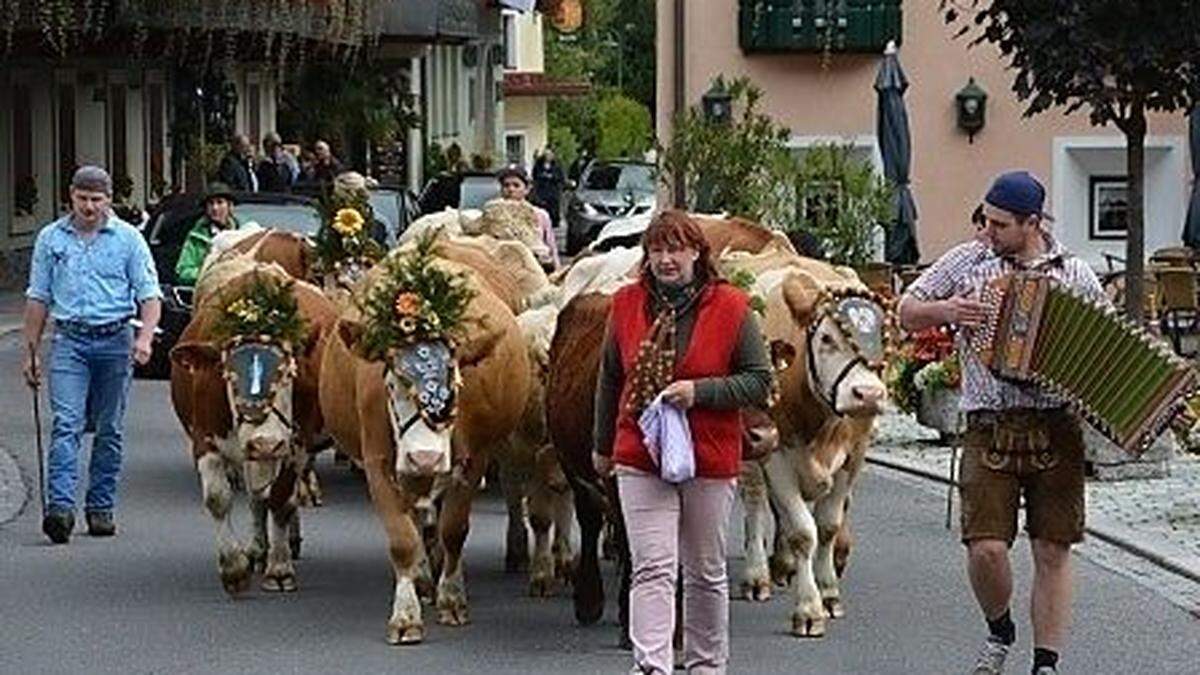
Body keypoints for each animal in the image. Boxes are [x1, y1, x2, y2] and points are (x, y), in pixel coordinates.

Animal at [319, 235, 530, 638]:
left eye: (455, 381)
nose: (425, 457)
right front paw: (405, 614)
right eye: (394, 382)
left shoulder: (473, 459)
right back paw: (421, 577)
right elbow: (402, 540)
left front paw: (452, 598)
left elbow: (454, 529)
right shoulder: (377, 463)